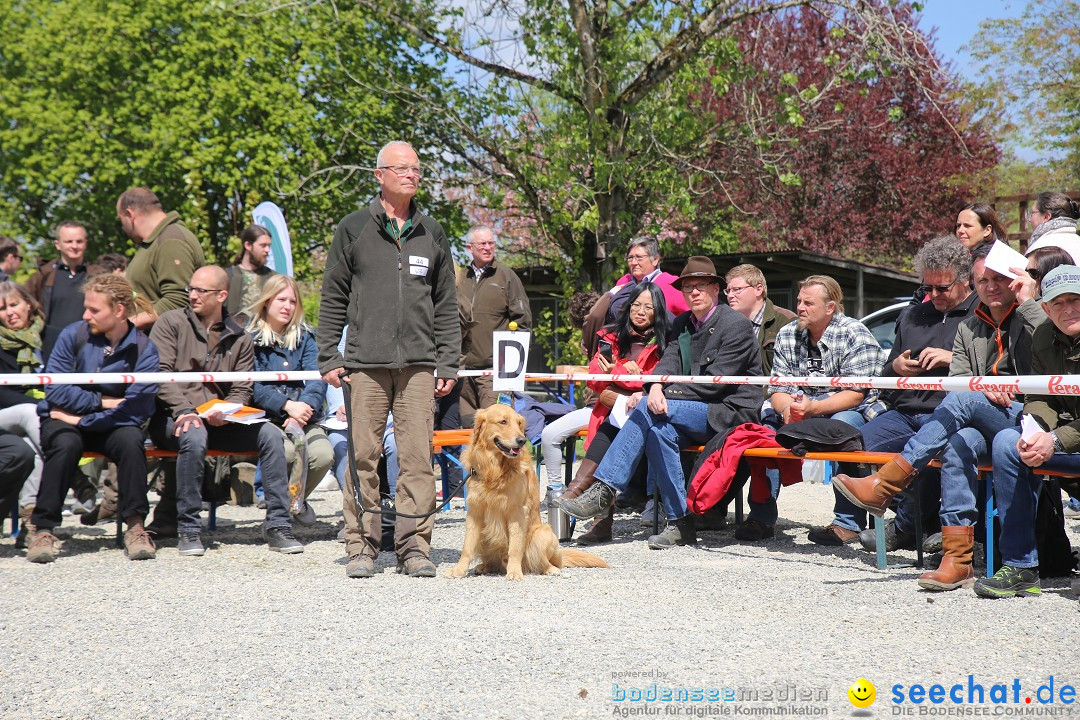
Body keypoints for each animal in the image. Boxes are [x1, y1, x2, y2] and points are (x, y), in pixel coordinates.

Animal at [447, 405, 613, 578]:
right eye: (503, 421)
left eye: (519, 423)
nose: (521, 440)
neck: (496, 470)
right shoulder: (475, 509)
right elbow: (467, 546)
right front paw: (458, 569)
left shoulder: (517, 510)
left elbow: (514, 547)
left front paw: (514, 572)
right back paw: (484, 566)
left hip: (543, 533)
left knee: (544, 562)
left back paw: (550, 569)